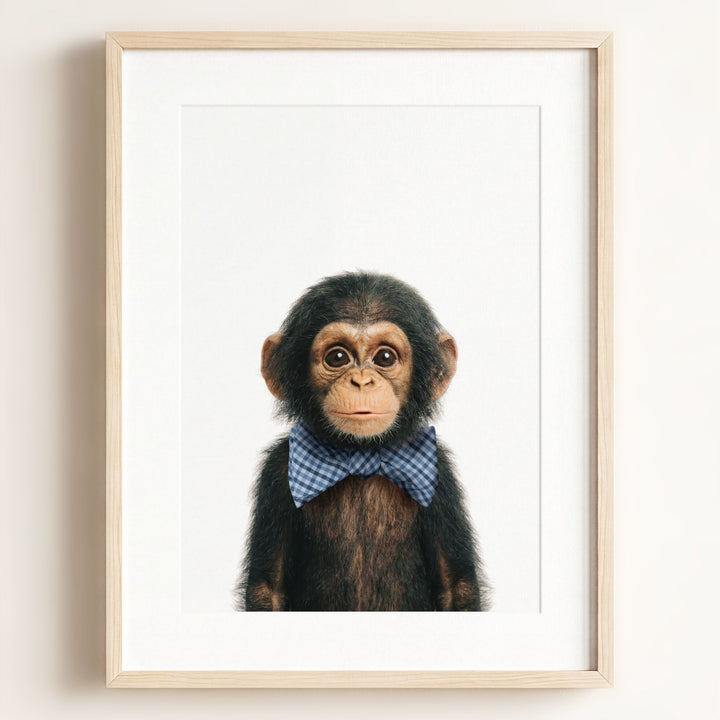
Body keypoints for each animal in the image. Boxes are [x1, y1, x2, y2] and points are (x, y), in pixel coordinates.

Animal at [236, 271, 490, 611]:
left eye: (385, 357)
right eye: (337, 357)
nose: (361, 381)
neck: (360, 455)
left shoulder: (440, 473)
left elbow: (457, 587)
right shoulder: (276, 470)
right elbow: (267, 589)